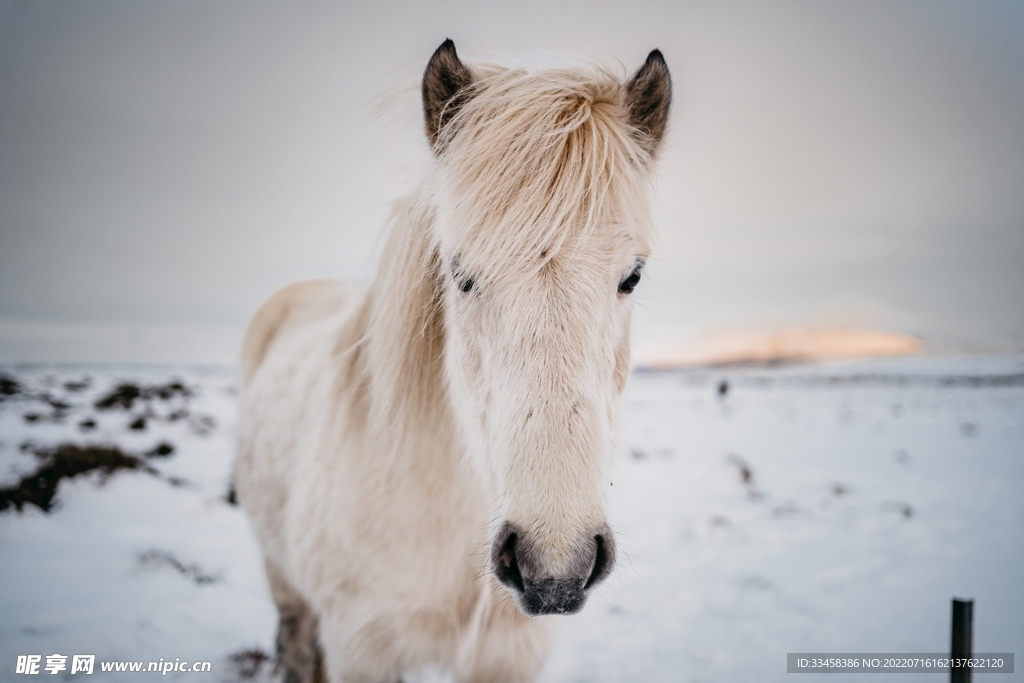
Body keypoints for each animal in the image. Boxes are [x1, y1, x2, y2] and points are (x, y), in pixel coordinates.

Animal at [235, 41, 675, 683]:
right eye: (461, 275)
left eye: (633, 277)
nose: (554, 566)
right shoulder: (360, 649)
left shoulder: (509, 658)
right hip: (282, 580)